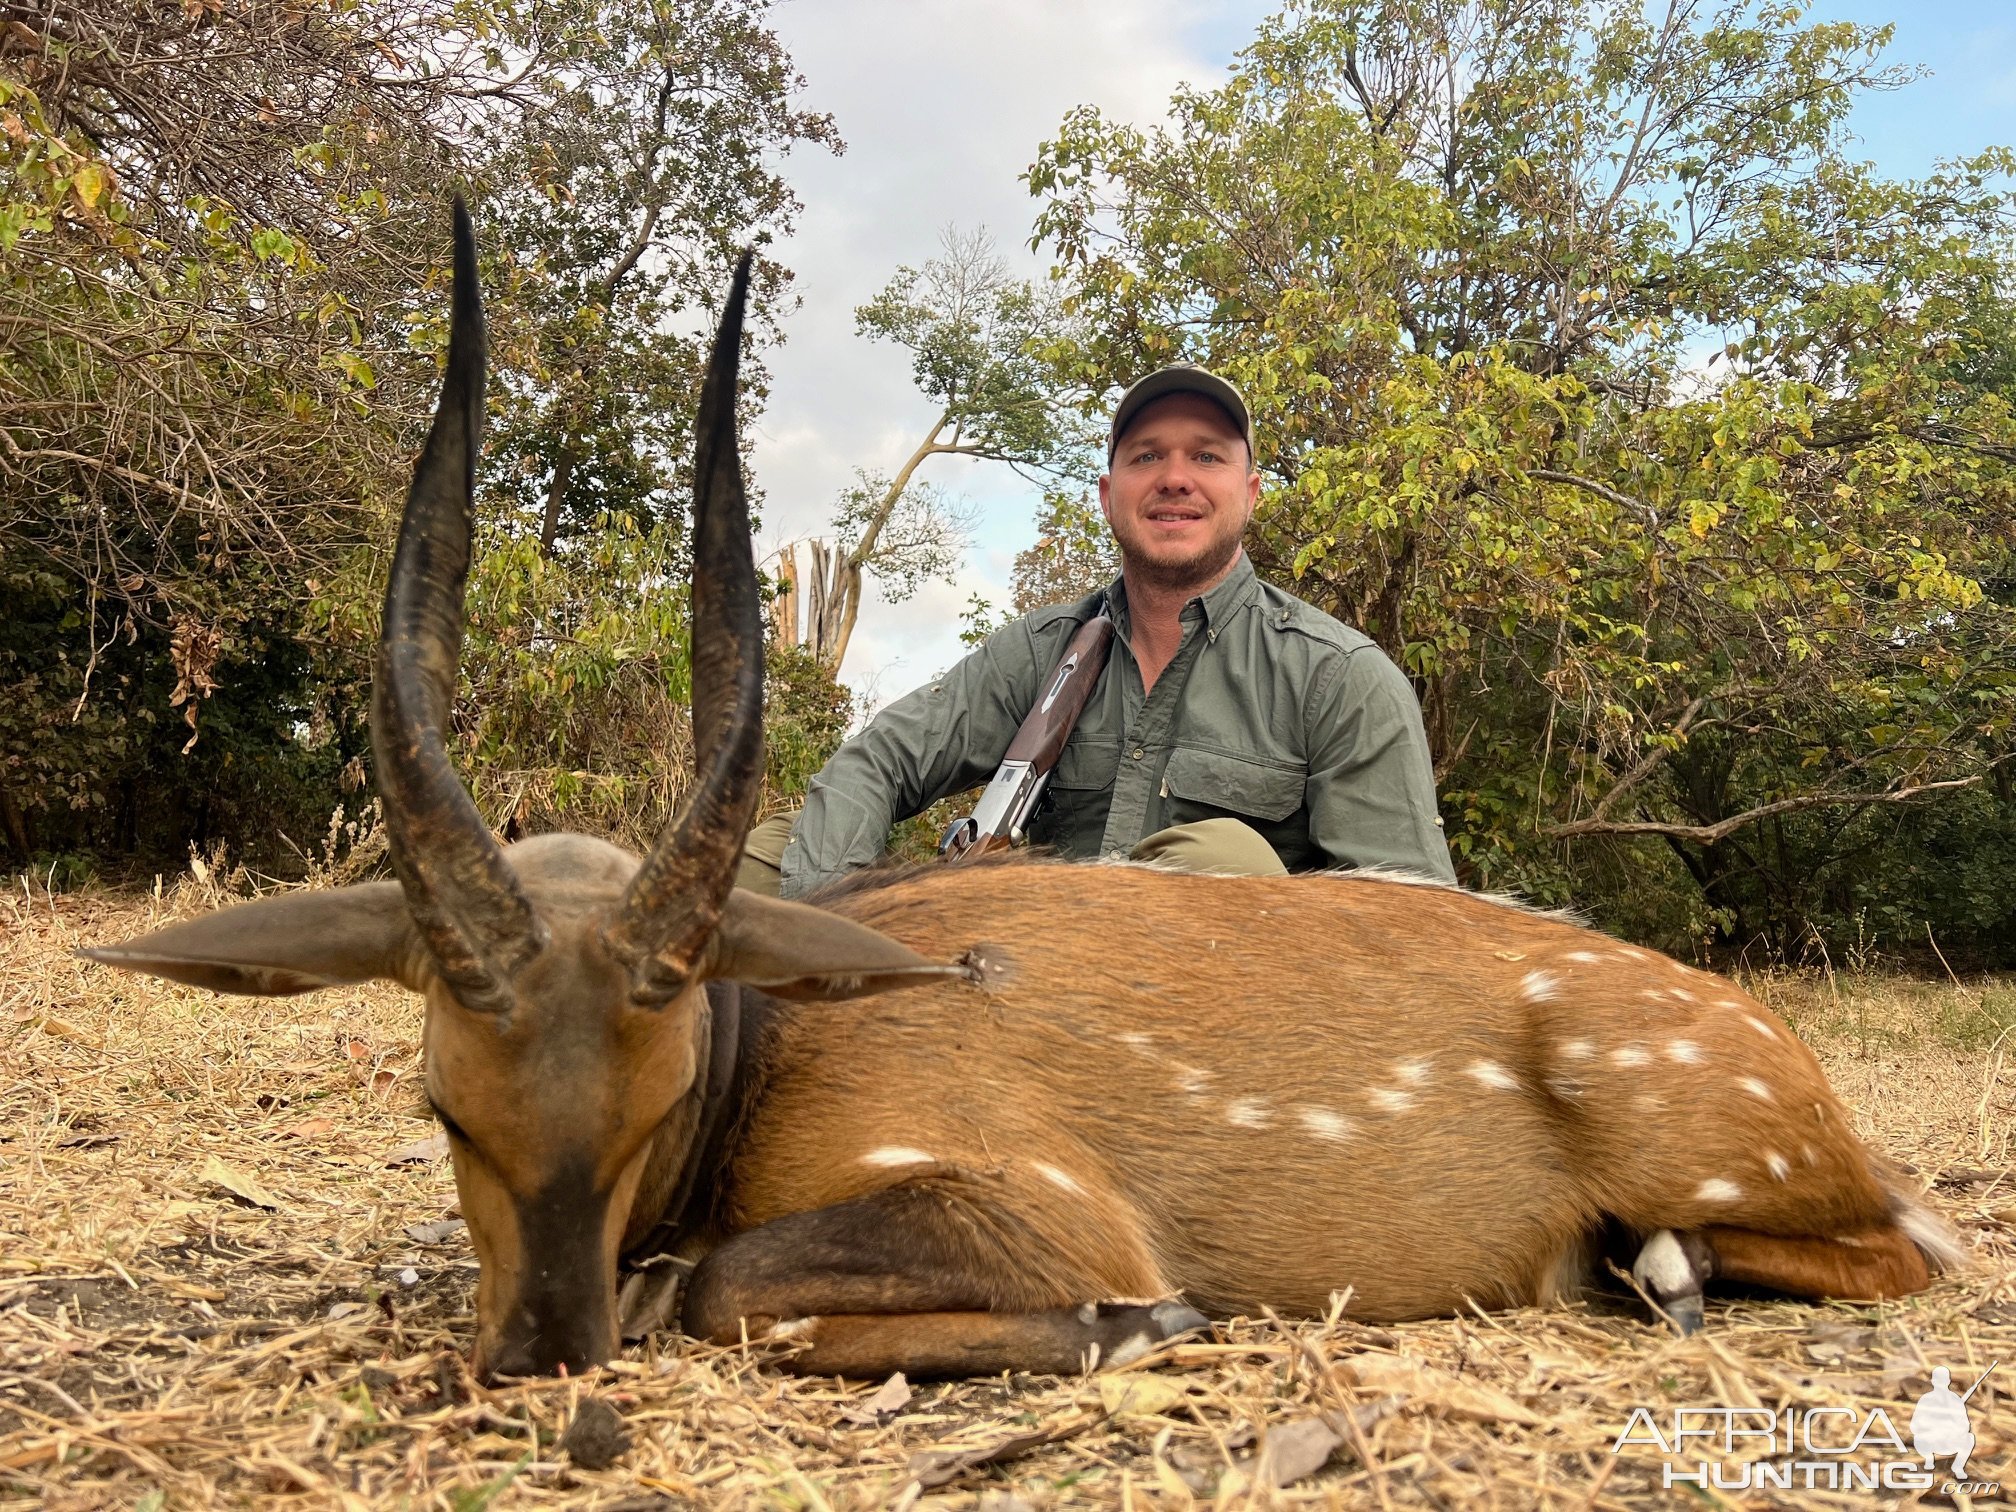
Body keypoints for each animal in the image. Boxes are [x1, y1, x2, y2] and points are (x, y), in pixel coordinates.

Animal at [86, 204, 1959, 1387]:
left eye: (654, 1096)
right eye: (442, 1107)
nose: (541, 1354)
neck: (776, 1044)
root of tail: (1776, 1049)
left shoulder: (1039, 1205)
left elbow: (724, 1284)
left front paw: (1147, 1330)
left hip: (1722, 1149)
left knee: (1908, 1245)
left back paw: (1666, 1271)